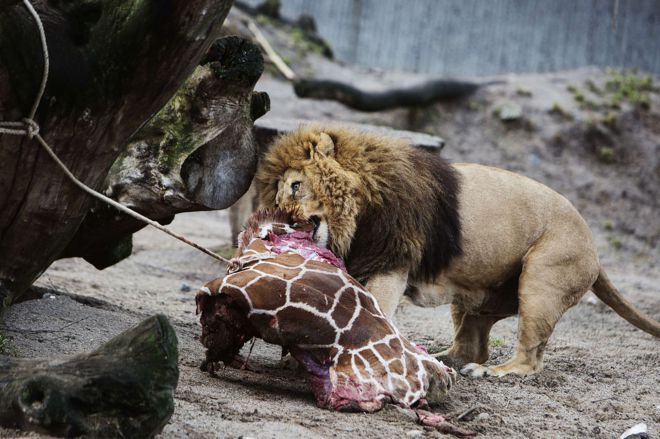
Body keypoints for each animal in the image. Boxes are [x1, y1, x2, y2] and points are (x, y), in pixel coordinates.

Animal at [254, 124, 660, 378]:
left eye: (294, 186)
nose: (284, 221)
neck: (357, 212)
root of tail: (594, 245)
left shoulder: (391, 261)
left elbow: (374, 309)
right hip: (476, 297)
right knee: (470, 346)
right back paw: (439, 359)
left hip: (543, 280)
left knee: (528, 358)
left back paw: (492, 371)